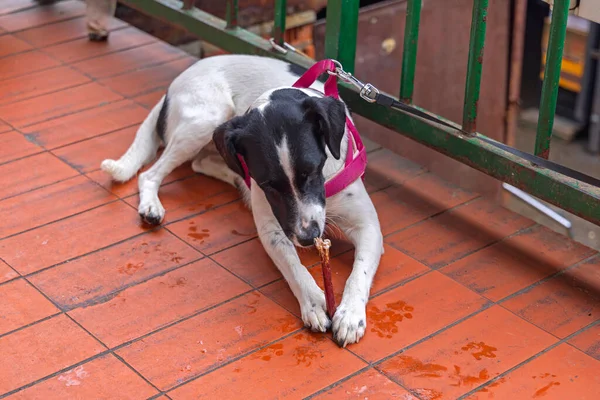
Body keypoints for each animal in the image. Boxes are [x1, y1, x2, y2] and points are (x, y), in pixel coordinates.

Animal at [102, 54, 384, 346]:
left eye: (313, 169)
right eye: (269, 184)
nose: (308, 238)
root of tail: (173, 86)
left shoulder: (368, 227)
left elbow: (359, 273)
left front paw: (350, 314)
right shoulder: (273, 230)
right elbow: (294, 267)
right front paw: (314, 302)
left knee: (200, 163)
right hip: (206, 119)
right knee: (150, 175)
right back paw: (152, 205)